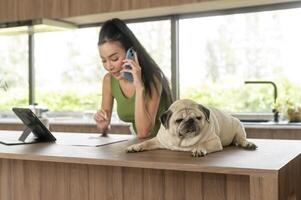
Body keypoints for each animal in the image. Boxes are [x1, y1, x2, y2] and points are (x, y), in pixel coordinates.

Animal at [125, 99, 256, 157]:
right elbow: (146, 142)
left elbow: (203, 144)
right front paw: (135, 146)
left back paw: (248, 144)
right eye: (179, 120)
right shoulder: (159, 140)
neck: (182, 141)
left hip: (239, 127)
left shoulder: (214, 141)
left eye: (198, 117)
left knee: (241, 139)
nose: (190, 121)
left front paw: (198, 149)